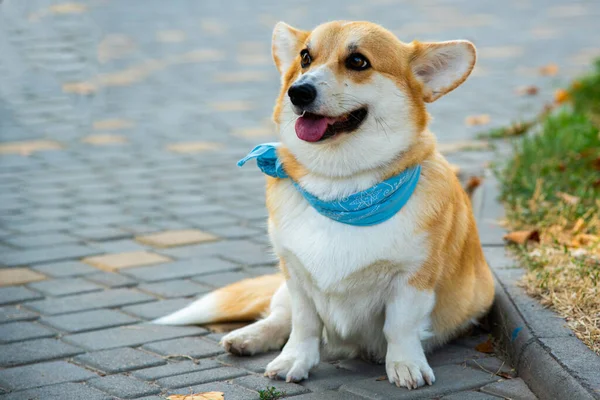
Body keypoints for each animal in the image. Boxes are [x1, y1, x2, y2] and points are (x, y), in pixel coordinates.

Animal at [156, 20, 496, 390]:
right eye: (305, 57)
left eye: (358, 61)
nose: (298, 92)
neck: (339, 188)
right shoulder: (296, 276)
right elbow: (304, 325)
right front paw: (294, 361)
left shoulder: (413, 278)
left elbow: (400, 327)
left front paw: (405, 365)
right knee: (279, 317)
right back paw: (248, 338)